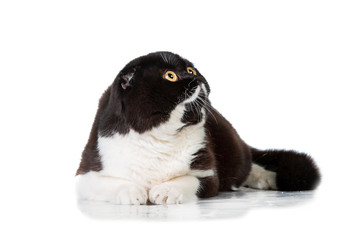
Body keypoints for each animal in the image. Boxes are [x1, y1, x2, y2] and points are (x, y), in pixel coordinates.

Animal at [76, 51, 320, 205]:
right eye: (170, 76)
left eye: (191, 70)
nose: (199, 79)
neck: (160, 136)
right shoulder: (88, 168)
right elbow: (104, 182)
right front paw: (129, 191)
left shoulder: (207, 172)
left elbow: (189, 180)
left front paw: (166, 191)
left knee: (249, 165)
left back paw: (266, 179)